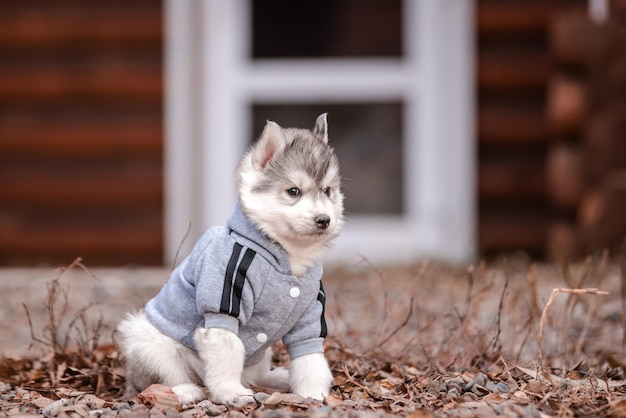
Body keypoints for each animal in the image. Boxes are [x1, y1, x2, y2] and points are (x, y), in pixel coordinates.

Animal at [116, 113, 342, 404]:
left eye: (327, 191)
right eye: (293, 191)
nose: (324, 220)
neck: (284, 254)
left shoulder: (310, 316)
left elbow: (310, 359)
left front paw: (313, 394)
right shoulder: (223, 303)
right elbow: (228, 352)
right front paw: (230, 392)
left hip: (261, 355)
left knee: (256, 374)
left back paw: (278, 379)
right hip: (149, 342)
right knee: (163, 378)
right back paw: (185, 391)